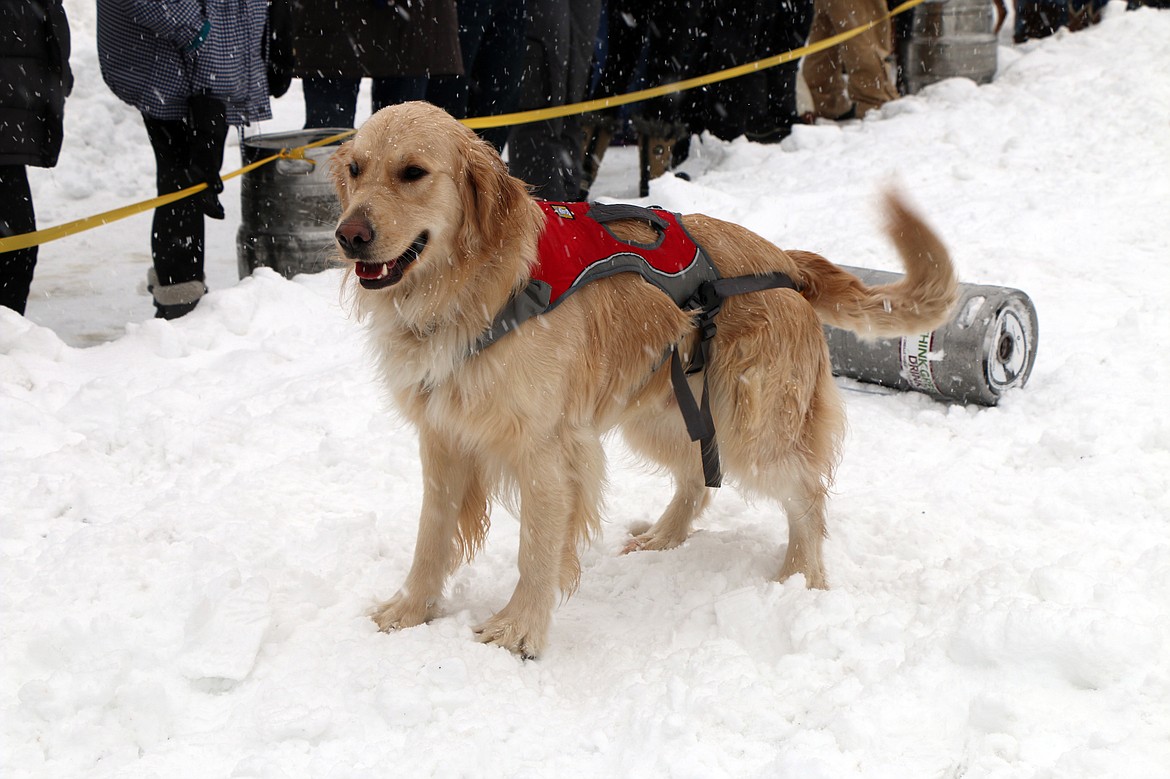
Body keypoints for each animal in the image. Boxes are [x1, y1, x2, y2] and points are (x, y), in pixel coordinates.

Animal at [327, 98, 950, 655]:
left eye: (413, 172)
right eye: (356, 169)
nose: (348, 236)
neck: (473, 288)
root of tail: (786, 261)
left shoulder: (547, 448)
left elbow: (536, 549)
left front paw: (519, 632)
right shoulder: (443, 440)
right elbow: (430, 538)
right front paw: (410, 610)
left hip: (752, 429)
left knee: (808, 494)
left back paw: (801, 577)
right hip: (663, 414)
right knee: (699, 477)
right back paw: (664, 538)